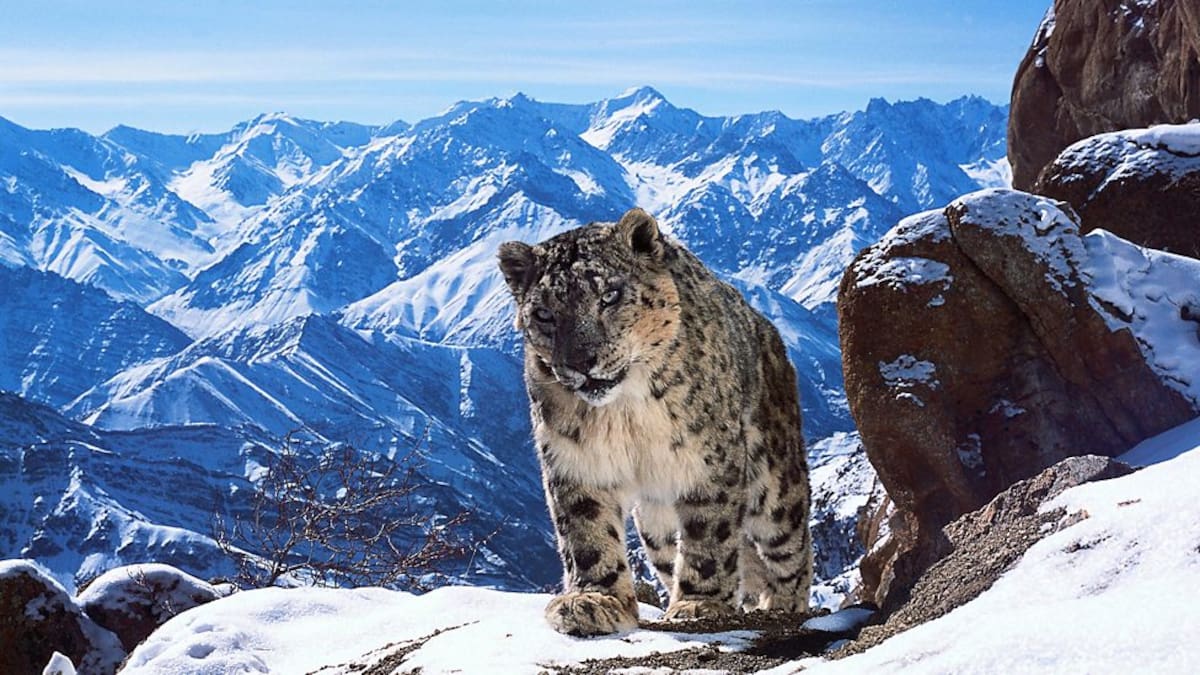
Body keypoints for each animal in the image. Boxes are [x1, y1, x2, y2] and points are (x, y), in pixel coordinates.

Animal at [497, 207, 812, 636]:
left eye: (609, 295)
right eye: (544, 314)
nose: (581, 362)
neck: (625, 413)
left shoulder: (708, 462)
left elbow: (709, 533)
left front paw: (698, 604)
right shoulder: (574, 462)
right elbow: (586, 533)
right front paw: (595, 600)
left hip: (776, 483)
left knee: (790, 549)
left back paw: (782, 605)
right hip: (655, 528)